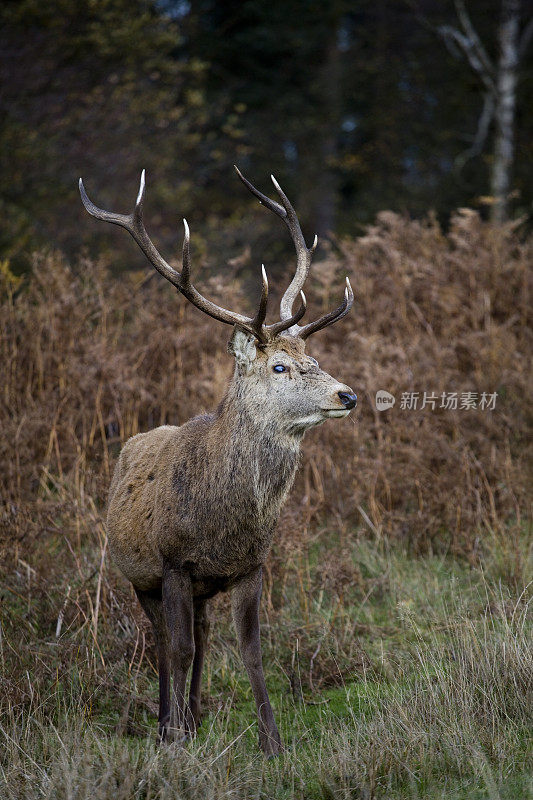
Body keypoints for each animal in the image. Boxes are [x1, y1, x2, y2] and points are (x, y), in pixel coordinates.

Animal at [77, 166, 356, 752]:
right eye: (278, 366)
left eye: (313, 357)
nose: (348, 395)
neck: (223, 523)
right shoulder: (173, 563)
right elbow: (178, 648)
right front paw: (176, 740)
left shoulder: (251, 566)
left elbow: (251, 650)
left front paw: (272, 743)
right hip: (138, 577)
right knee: (165, 640)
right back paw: (170, 723)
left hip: (202, 589)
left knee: (202, 637)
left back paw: (195, 714)